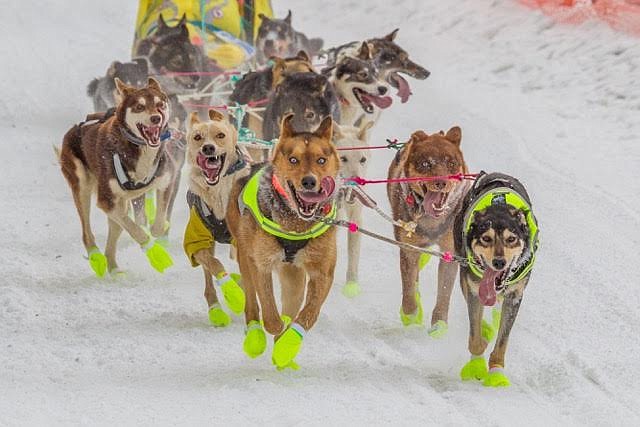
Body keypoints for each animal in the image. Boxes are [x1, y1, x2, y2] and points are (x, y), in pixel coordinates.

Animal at [228, 114, 342, 372]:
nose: (309, 181)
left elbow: (309, 314)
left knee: (293, 302)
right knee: (252, 303)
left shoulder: (323, 272)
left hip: (294, 277)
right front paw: (275, 329)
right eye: (293, 159)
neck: (295, 225)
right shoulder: (260, 263)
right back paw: (255, 336)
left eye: (321, 160)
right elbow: (269, 312)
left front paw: (287, 345)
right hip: (245, 257)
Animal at [456, 171, 540, 388]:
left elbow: (503, 340)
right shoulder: (474, 291)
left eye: (511, 239)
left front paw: (496, 371)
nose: (499, 262)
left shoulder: (515, 296)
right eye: (486, 238)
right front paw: (477, 364)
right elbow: (475, 337)